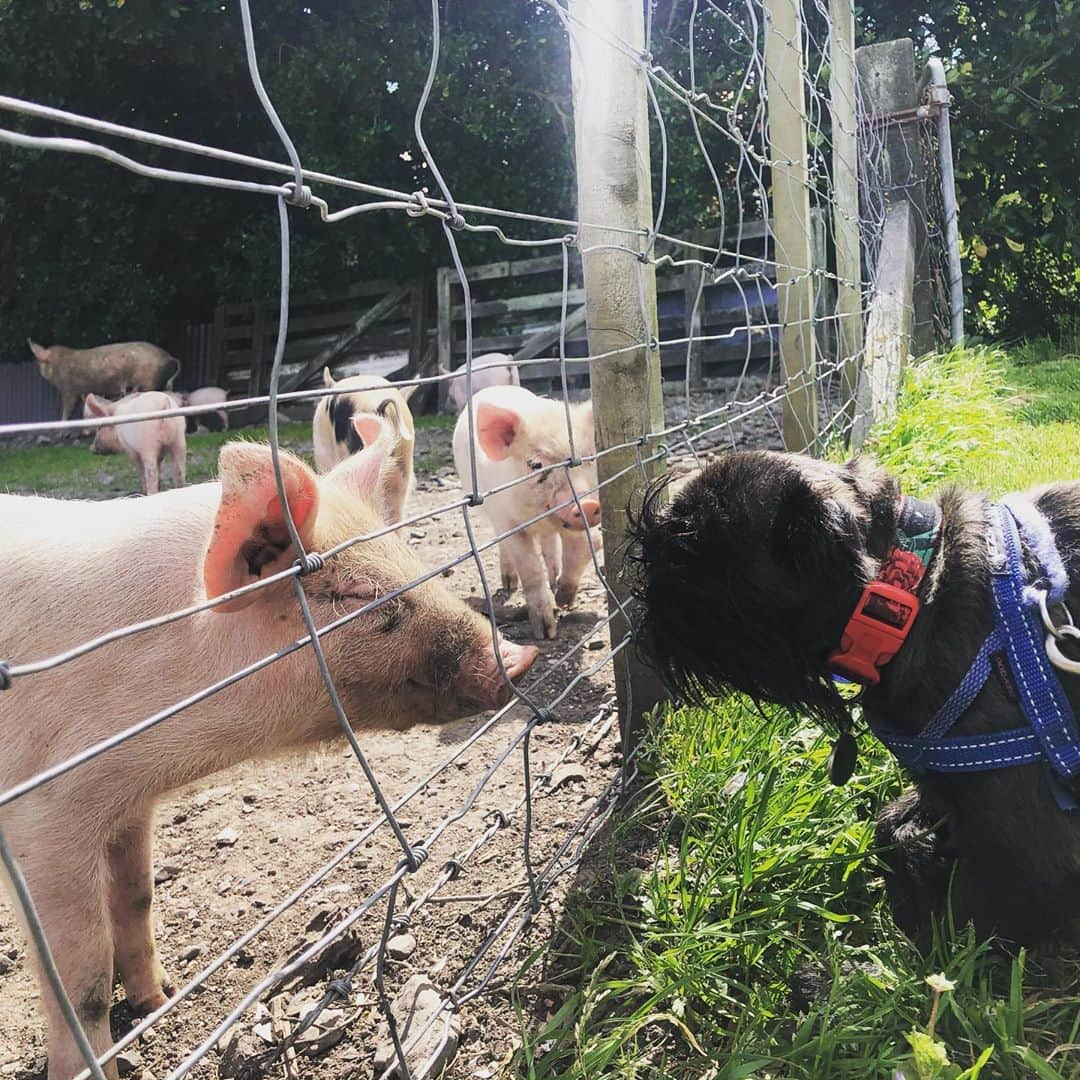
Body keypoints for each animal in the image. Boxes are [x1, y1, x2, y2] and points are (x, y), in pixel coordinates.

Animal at [0, 423, 537, 1080]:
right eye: (354, 593)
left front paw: (162, 1000)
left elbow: (137, 896)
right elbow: (81, 980)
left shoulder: (129, 801)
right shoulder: (43, 815)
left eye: (415, 563)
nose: (518, 656)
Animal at [27, 336, 181, 421]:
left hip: (148, 381)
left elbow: (67, 409)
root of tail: (168, 356)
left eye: (40, 363)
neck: (58, 365)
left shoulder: (68, 389)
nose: (40, 373)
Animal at [447, 386, 600, 639]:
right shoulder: (508, 522)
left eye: (590, 458)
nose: (587, 504)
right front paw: (546, 632)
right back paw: (510, 584)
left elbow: (589, 545)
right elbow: (530, 567)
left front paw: (564, 600)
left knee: (549, 545)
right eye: (536, 465)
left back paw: (554, 579)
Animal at [626, 451, 1080, 941]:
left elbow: (950, 925)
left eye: (689, 550)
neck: (910, 595)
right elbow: (889, 825)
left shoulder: (1028, 859)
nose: (646, 589)